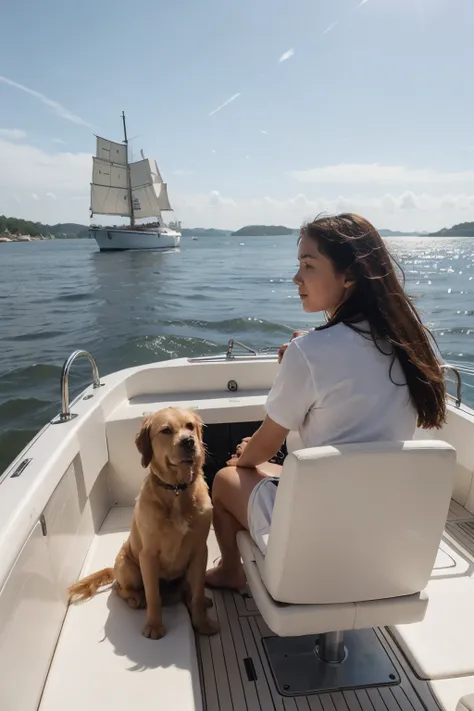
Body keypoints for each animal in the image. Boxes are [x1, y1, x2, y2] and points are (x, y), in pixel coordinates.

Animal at [67, 408, 218, 644]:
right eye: (166, 430)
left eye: (190, 426)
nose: (189, 442)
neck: (177, 489)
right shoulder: (148, 555)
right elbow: (153, 595)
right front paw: (154, 626)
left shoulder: (200, 550)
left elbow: (198, 593)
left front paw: (202, 623)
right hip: (128, 567)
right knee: (121, 589)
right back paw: (136, 599)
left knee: (189, 591)